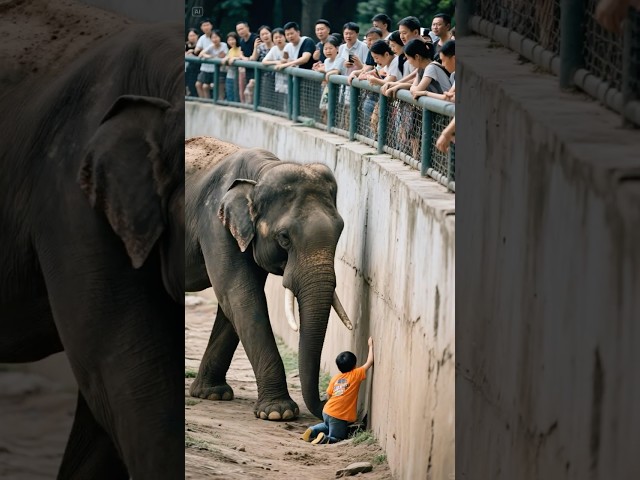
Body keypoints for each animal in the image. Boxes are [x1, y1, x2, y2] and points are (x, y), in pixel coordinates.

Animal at [185, 136, 354, 421]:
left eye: (341, 229)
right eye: (284, 237)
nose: (327, 398)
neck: (261, 173)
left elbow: (234, 300)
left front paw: (212, 394)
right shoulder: (215, 224)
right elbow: (239, 294)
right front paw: (278, 413)